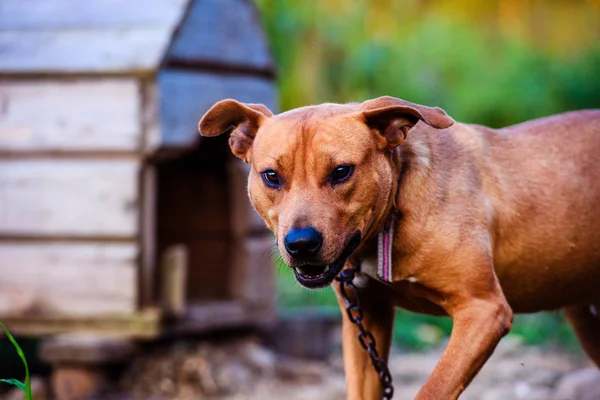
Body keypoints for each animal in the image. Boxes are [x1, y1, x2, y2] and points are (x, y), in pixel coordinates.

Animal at [199, 95, 600, 398]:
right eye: (271, 176)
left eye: (341, 171)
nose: (301, 244)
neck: (393, 215)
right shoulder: (365, 323)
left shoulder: (483, 310)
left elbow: (433, 389)